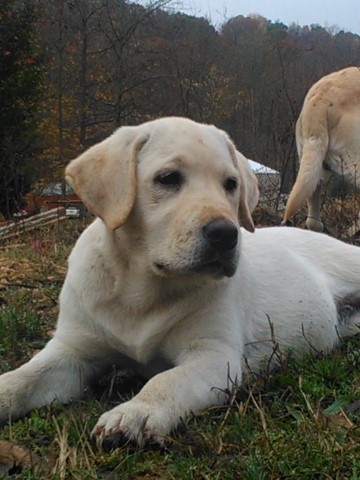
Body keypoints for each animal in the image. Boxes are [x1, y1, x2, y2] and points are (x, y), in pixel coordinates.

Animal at [0, 115, 358, 446]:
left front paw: (136, 412)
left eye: (231, 184)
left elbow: (167, 380)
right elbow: (25, 376)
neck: (143, 290)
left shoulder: (213, 354)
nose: (226, 234)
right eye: (167, 178)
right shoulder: (72, 351)